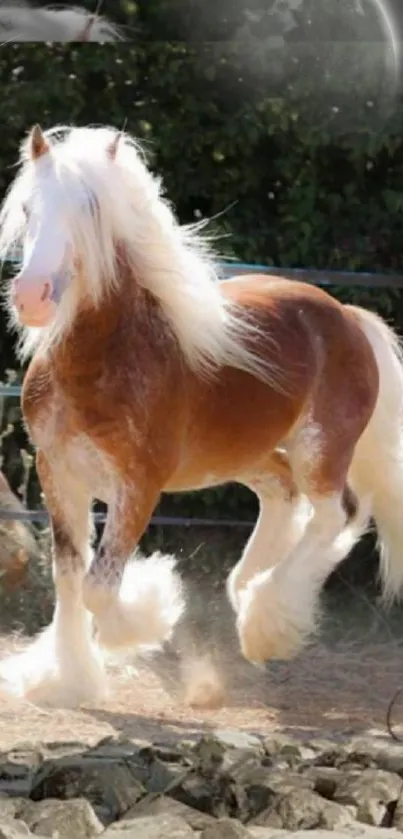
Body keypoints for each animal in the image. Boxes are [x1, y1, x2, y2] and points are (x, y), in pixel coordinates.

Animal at [0, 120, 402, 708]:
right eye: (28, 208)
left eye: (91, 206)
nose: (32, 297)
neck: (103, 360)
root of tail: (349, 318)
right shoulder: (59, 475)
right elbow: (69, 577)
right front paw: (65, 680)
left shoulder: (138, 484)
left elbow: (100, 586)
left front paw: (148, 613)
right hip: (245, 455)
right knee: (283, 494)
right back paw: (247, 590)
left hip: (321, 448)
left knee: (337, 514)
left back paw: (266, 625)